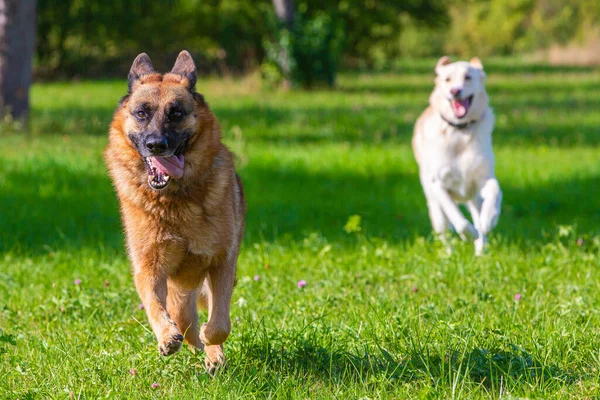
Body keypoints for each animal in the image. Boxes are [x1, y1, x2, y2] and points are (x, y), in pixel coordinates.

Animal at [104, 50, 245, 372]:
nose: (156, 145)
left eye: (177, 113)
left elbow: (220, 323)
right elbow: (155, 305)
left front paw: (211, 341)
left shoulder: (222, 262)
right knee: (184, 320)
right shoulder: (149, 268)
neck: (174, 200)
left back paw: (212, 354)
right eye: (141, 113)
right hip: (179, 292)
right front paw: (167, 336)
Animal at [412, 55, 502, 256]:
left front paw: (489, 219)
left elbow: (495, 190)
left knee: (478, 219)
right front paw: (467, 234)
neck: (460, 132)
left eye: (468, 77)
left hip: (473, 198)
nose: (455, 91)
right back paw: (449, 255)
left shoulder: (482, 179)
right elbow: (456, 217)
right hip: (434, 207)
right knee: (444, 232)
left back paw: (480, 252)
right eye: (447, 80)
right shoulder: (437, 184)